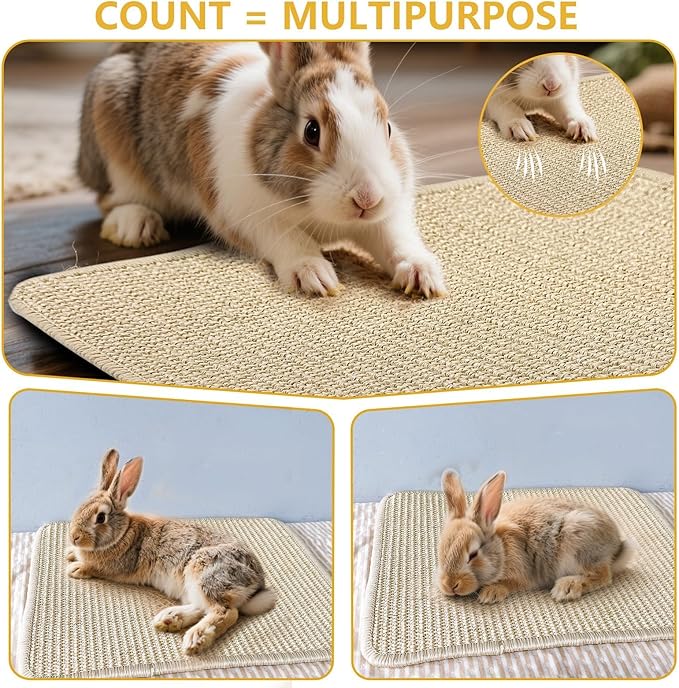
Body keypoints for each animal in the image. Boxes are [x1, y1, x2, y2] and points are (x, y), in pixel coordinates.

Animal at [65, 449, 276, 655]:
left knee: (226, 611)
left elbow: (94, 568)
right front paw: (70, 553)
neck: (123, 532)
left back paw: (195, 639)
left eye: (100, 517)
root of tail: (257, 582)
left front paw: (75, 568)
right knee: (204, 607)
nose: (74, 536)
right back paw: (170, 619)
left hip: (204, 572)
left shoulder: (114, 567)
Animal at [77, 42, 446, 298]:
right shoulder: (247, 216)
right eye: (312, 131)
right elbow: (290, 239)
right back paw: (135, 227)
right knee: (113, 199)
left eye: (387, 127)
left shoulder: (388, 214)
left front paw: (423, 275)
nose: (367, 199)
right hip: (111, 132)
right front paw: (314, 276)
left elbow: (396, 238)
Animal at [437, 470, 636, 604]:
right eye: (440, 553)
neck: (503, 549)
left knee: (603, 575)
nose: (450, 585)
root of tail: (616, 548)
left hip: (579, 543)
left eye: (473, 554)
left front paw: (490, 593)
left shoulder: (523, 574)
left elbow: (511, 584)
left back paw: (566, 588)